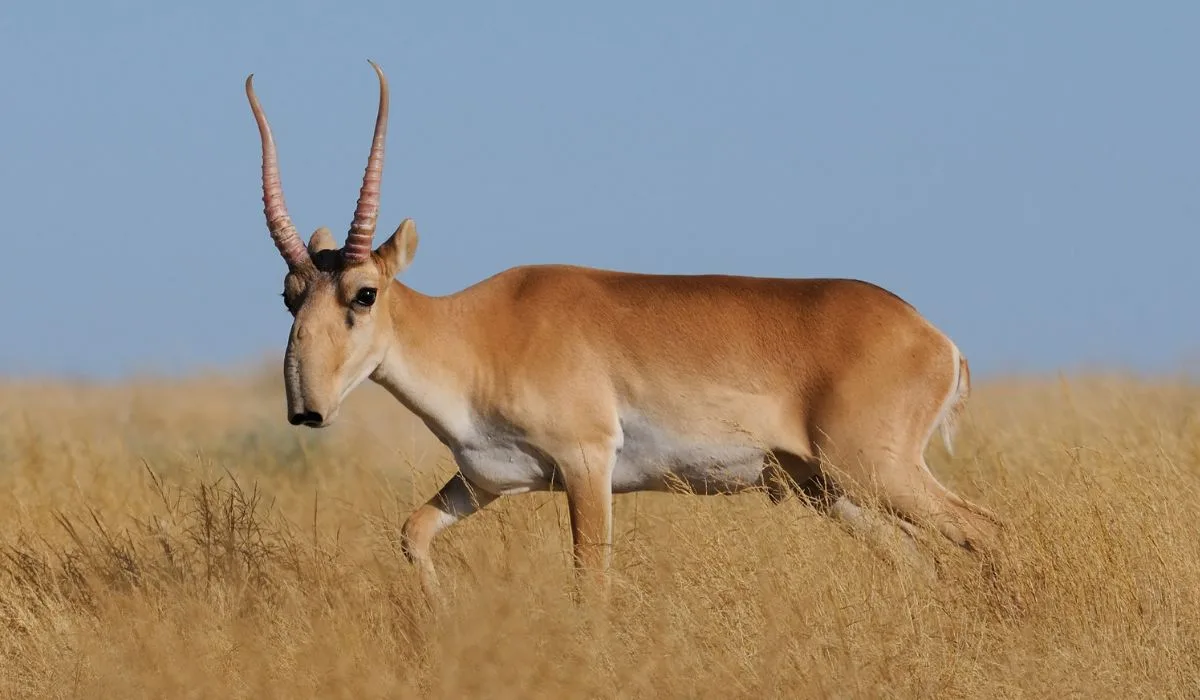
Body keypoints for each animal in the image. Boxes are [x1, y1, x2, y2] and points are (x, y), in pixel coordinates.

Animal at [245, 61, 1002, 600]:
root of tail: (933, 336)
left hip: (874, 471)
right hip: (831, 489)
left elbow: (592, 585)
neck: (477, 332)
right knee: (921, 563)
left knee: (986, 531)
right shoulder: (485, 481)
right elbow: (413, 533)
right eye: (289, 295)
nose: (306, 408)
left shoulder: (587, 466)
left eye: (364, 293)